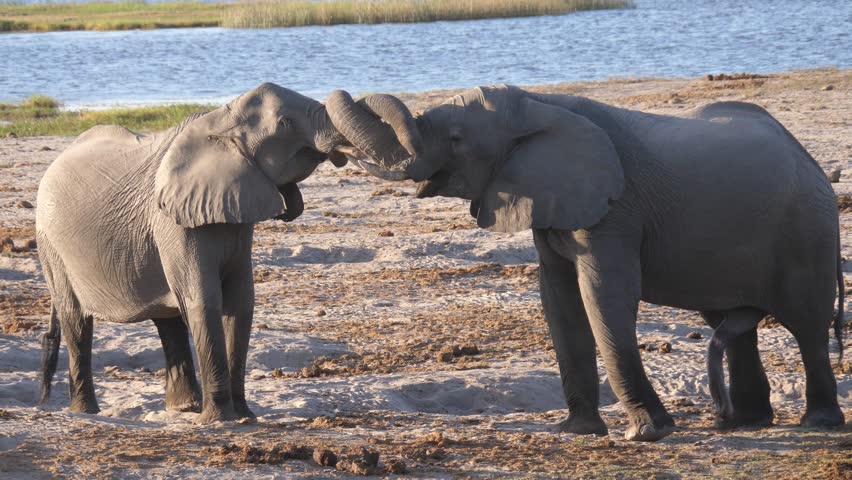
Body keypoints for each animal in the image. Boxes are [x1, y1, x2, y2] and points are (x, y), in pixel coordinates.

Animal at [36, 82, 355, 423]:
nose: (340, 154)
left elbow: (241, 302)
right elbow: (204, 300)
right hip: (51, 245)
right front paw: (220, 420)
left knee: (169, 321)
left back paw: (183, 408)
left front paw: (245, 415)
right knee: (77, 320)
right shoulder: (173, 222)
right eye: (285, 123)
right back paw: (86, 411)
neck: (219, 122)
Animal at [324, 86, 846, 441]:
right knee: (731, 322)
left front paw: (646, 433)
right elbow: (558, 299)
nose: (335, 148)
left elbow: (604, 297)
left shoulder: (614, 210)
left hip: (807, 229)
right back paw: (748, 424)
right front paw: (575, 431)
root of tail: (810, 159)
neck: (536, 105)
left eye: (455, 137)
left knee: (807, 324)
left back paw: (817, 423)